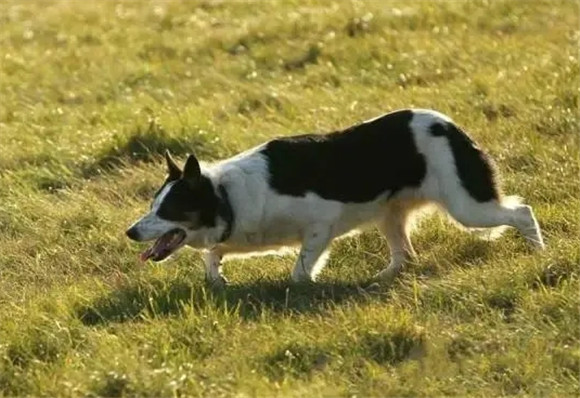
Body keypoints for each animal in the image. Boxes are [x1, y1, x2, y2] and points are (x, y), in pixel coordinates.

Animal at [125, 109, 544, 286]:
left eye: (168, 209)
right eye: (151, 207)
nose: (130, 233)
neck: (224, 196)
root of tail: (451, 125)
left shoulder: (320, 224)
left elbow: (299, 269)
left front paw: (304, 286)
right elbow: (213, 256)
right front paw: (217, 280)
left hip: (467, 207)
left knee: (522, 211)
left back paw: (538, 252)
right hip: (390, 215)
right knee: (404, 255)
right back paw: (380, 278)